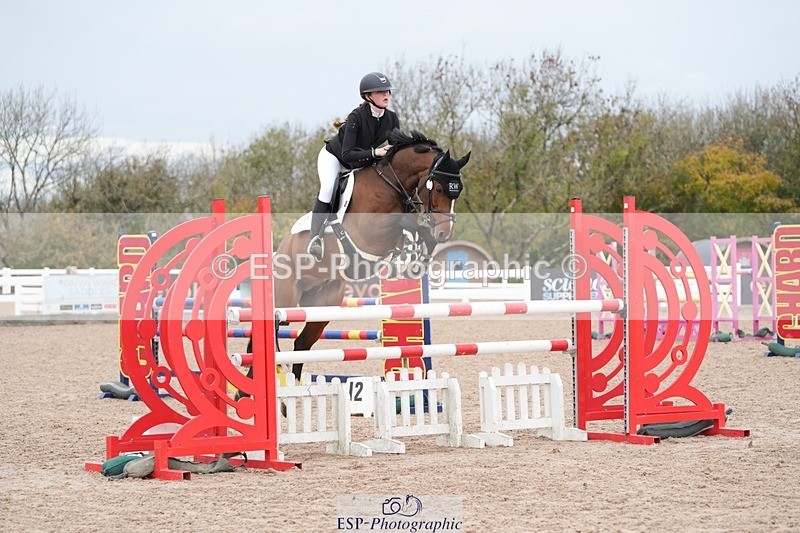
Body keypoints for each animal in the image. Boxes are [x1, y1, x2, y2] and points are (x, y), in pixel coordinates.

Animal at [246, 129, 470, 383]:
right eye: (440, 189)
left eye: (458, 192)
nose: (444, 232)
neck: (391, 182)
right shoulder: (371, 230)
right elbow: (405, 222)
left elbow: (413, 229)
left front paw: (418, 257)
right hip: (285, 297)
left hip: (323, 303)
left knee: (302, 344)